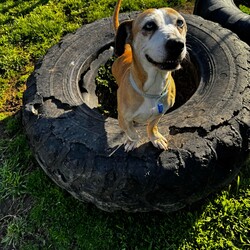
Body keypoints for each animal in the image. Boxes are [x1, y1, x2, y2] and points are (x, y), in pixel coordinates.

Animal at [112, 0, 188, 151]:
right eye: (149, 25)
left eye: (180, 22)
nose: (177, 44)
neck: (152, 90)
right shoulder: (123, 119)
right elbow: (131, 132)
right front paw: (132, 141)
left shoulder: (160, 112)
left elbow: (152, 126)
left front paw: (155, 138)